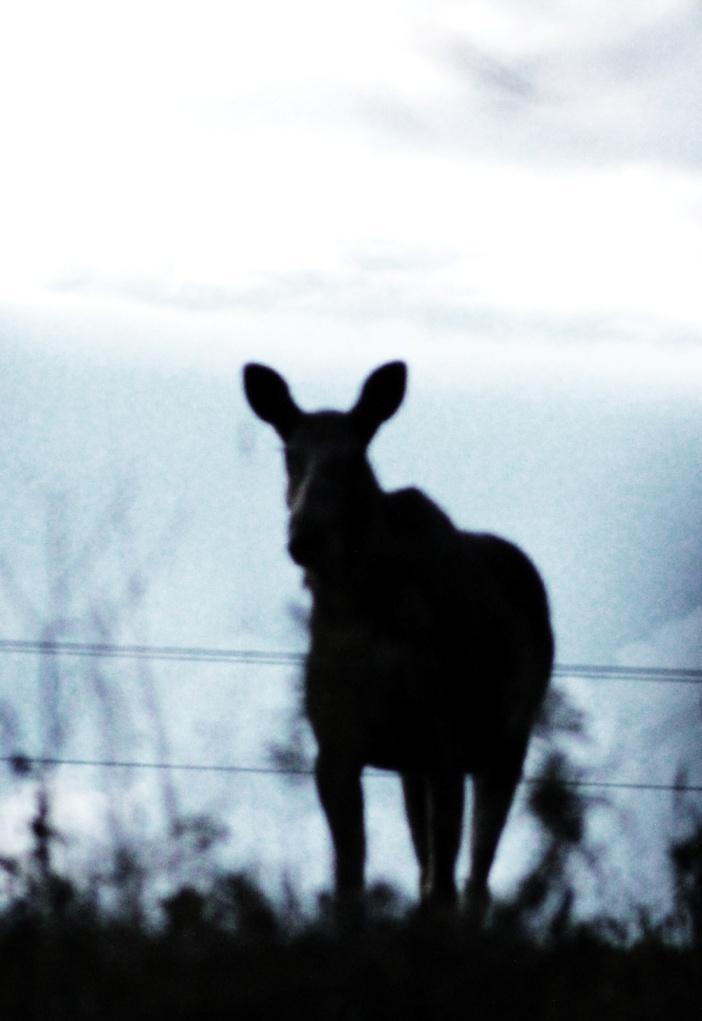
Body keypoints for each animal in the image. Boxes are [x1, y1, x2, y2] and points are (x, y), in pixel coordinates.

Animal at [243, 363, 550, 914]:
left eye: (355, 458)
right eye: (289, 455)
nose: (305, 537)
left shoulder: (444, 747)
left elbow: (441, 893)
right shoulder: (337, 752)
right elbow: (350, 887)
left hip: (505, 747)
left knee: (475, 883)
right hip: (415, 769)